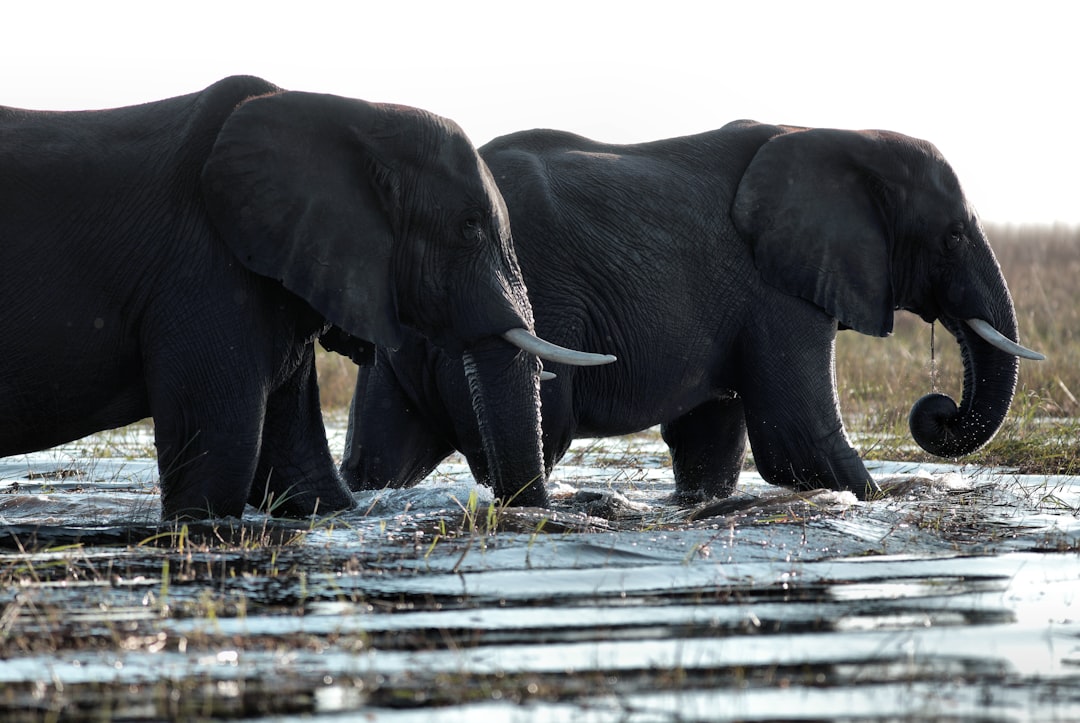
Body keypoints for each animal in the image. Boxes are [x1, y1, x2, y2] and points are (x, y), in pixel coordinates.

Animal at [0, 76, 613, 518]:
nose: (518, 510)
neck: (354, 116)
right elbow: (217, 467)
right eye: (468, 227)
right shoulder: (203, 269)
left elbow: (302, 479)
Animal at [341, 118, 1041, 501]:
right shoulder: (773, 292)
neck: (838, 134)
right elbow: (799, 442)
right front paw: (883, 500)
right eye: (953, 237)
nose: (937, 412)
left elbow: (711, 445)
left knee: (379, 456)